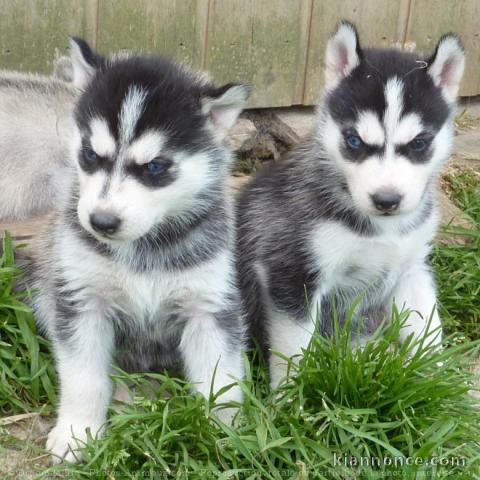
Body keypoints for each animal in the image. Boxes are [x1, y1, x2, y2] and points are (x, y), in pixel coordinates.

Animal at [32, 39, 251, 464]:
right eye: (89, 155)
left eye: (154, 167)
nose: (101, 222)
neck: (145, 247)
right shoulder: (82, 301)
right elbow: (84, 377)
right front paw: (76, 432)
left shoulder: (209, 306)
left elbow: (220, 378)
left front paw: (225, 433)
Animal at [238, 22, 466, 388]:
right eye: (354, 141)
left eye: (418, 144)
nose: (387, 200)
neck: (383, 229)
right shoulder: (292, 273)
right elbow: (293, 352)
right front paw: (291, 396)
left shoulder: (412, 266)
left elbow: (428, 330)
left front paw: (438, 381)